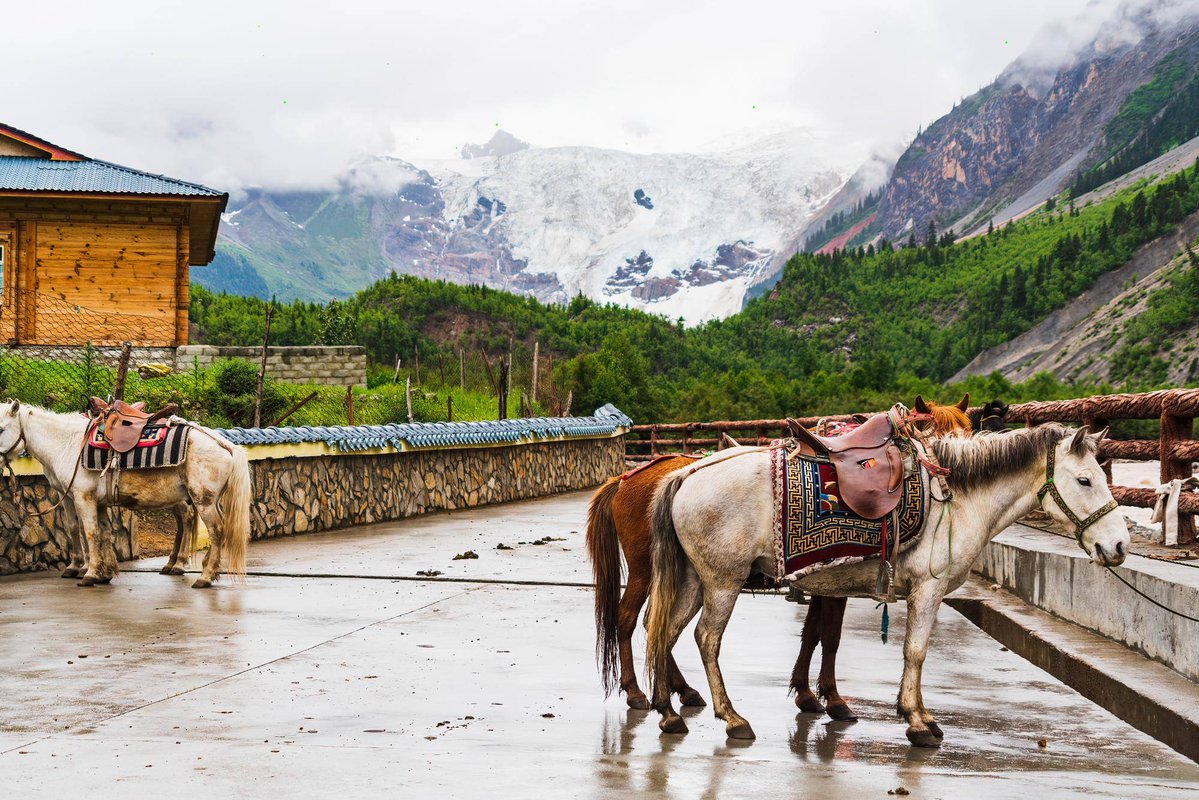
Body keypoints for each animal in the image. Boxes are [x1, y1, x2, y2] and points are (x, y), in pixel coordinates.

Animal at [0, 400, 252, 588]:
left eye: (1, 429)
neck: (67, 444)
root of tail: (224, 444)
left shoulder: (82, 497)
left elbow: (89, 532)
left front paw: (89, 573)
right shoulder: (91, 501)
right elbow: (101, 532)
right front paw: (105, 572)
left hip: (203, 500)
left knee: (215, 530)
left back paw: (203, 576)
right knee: (190, 524)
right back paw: (194, 567)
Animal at [586, 394, 972, 713]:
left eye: (969, 430)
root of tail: (625, 479)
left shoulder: (825, 579)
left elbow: (814, 632)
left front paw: (807, 692)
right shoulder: (834, 582)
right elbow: (828, 635)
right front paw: (830, 698)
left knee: (657, 625)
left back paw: (682, 691)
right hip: (645, 571)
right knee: (630, 620)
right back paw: (638, 691)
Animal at [644, 423, 1127, 746]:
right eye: (1085, 479)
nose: (1119, 544)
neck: (957, 498)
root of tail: (686, 475)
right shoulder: (928, 590)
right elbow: (915, 651)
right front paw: (918, 721)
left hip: (694, 581)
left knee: (663, 632)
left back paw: (668, 713)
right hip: (723, 582)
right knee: (706, 639)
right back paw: (732, 718)